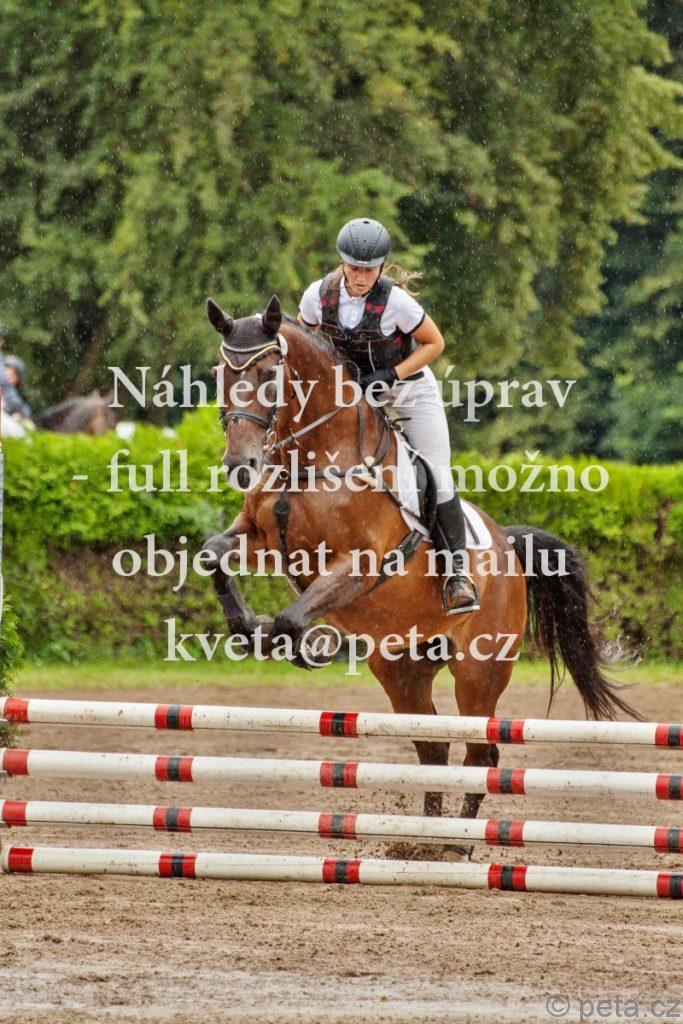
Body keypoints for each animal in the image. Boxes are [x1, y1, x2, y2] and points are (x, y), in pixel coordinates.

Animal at [202, 294, 637, 841]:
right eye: (220, 372)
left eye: (267, 373)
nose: (241, 465)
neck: (314, 456)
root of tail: (509, 548)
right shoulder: (262, 539)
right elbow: (212, 555)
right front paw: (246, 628)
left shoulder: (362, 565)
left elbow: (291, 616)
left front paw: (297, 645)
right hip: (402, 667)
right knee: (432, 747)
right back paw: (426, 844)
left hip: (479, 671)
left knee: (481, 754)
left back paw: (458, 847)